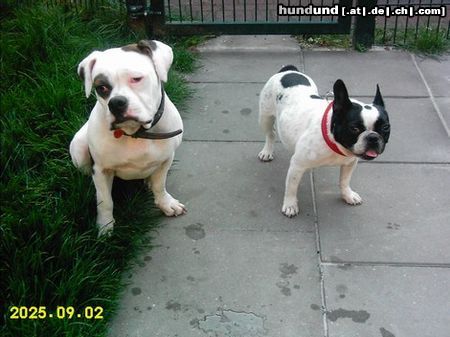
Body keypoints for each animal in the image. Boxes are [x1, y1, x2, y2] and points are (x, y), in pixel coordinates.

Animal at [69, 40, 185, 234]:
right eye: (101, 88)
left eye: (136, 79)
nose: (116, 103)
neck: (136, 133)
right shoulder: (101, 170)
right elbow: (105, 201)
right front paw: (105, 226)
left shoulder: (166, 159)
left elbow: (160, 185)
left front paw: (165, 203)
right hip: (78, 149)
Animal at [256, 65, 390, 217]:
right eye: (354, 128)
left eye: (386, 127)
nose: (373, 137)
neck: (335, 143)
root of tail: (288, 70)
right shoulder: (297, 166)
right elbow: (291, 187)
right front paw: (290, 204)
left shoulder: (350, 163)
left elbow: (344, 181)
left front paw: (347, 195)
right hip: (265, 117)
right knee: (270, 133)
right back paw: (267, 151)